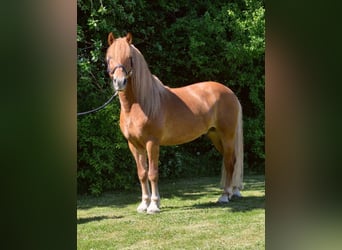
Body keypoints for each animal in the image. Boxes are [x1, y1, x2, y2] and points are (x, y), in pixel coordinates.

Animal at [106, 32, 243, 213]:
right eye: (109, 58)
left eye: (130, 58)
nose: (119, 82)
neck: (139, 104)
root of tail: (230, 93)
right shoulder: (134, 145)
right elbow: (142, 173)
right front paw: (143, 204)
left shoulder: (152, 143)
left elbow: (153, 173)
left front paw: (154, 205)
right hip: (215, 136)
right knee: (232, 160)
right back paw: (234, 192)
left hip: (227, 136)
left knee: (229, 162)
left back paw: (225, 196)